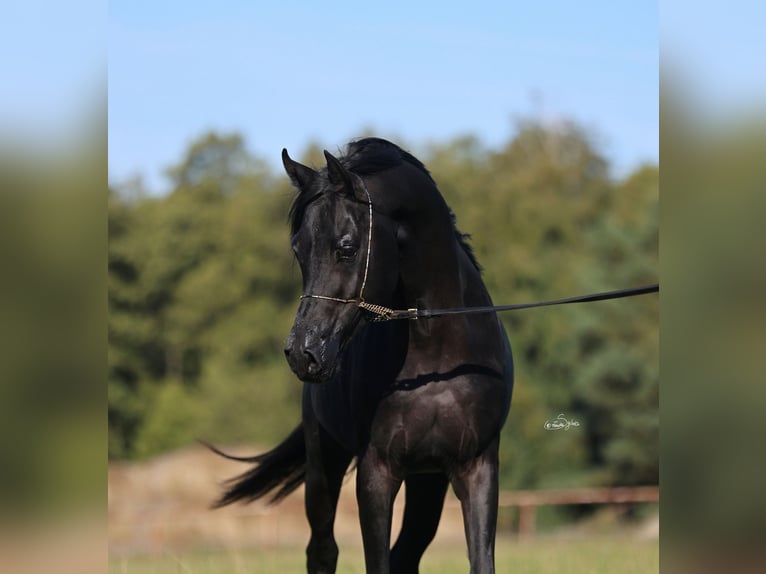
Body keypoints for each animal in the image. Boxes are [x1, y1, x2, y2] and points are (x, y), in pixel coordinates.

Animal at [212, 138, 514, 573]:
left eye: (347, 247)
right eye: (298, 249)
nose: (303, 352)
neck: (438, 358)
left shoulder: (478, 467)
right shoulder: (376, 471)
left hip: (427, 481)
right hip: (325, 465)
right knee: (323, 551)